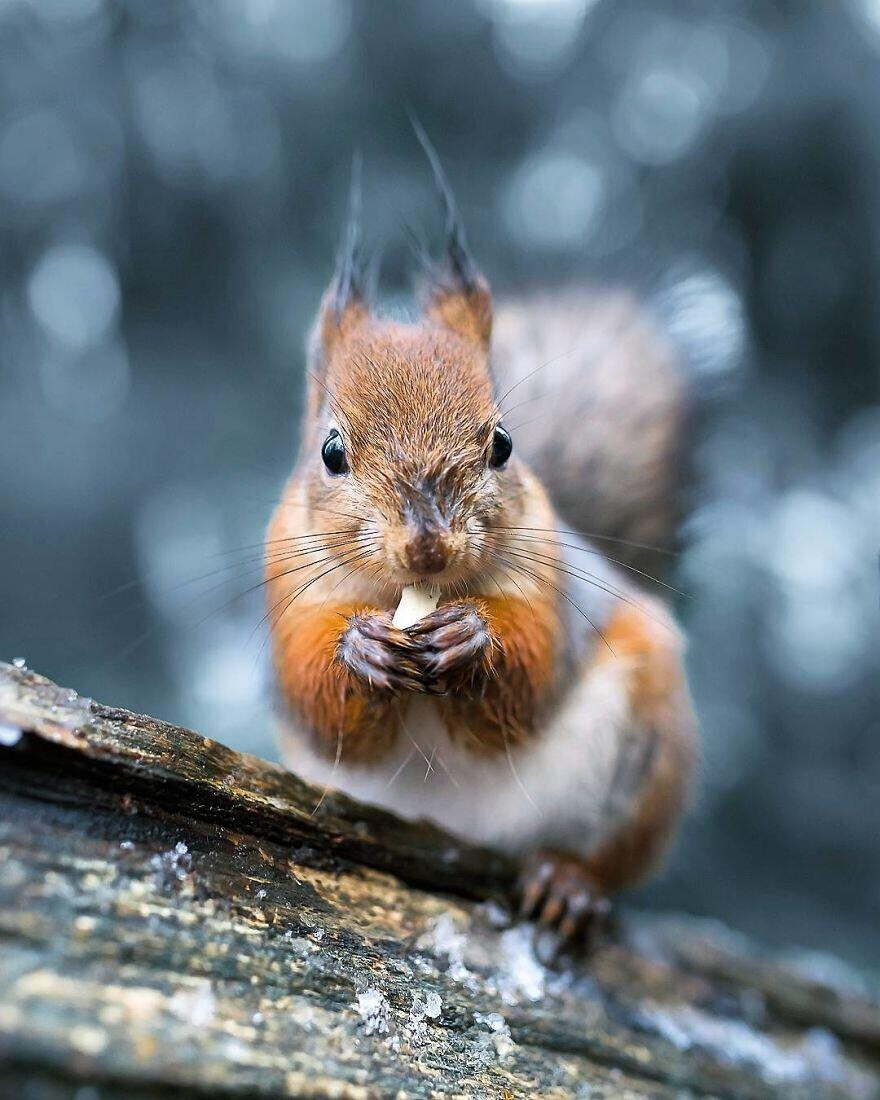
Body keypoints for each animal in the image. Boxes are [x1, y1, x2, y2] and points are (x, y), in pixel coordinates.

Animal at [265, 141, 699, 959]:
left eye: (502, 443)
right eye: (332, 451)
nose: (428, 547)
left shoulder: (554, 584)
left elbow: (527, 683)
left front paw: (471, 638)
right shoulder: (287, 592)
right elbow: (319, 699)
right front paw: (361, 649)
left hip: (646, 748)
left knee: (609, 860)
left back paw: (568, 883)